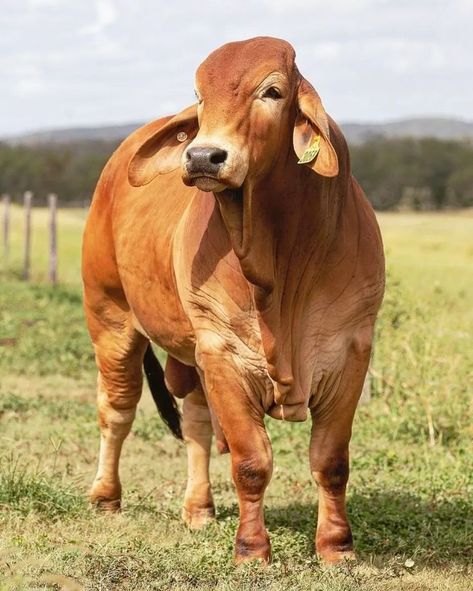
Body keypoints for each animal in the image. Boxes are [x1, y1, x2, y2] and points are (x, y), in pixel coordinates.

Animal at [81, 35, 384, 564]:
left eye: (272, 91)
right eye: (200, 96)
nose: (203, 156)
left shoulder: (351, 351)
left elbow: (330, 461)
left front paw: (336, 546)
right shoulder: (223, 352)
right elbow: (250, 462)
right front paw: (251, 548)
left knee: (196, 422)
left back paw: (199, 508)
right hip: (110, 319)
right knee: (116, 410)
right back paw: (105, 496)